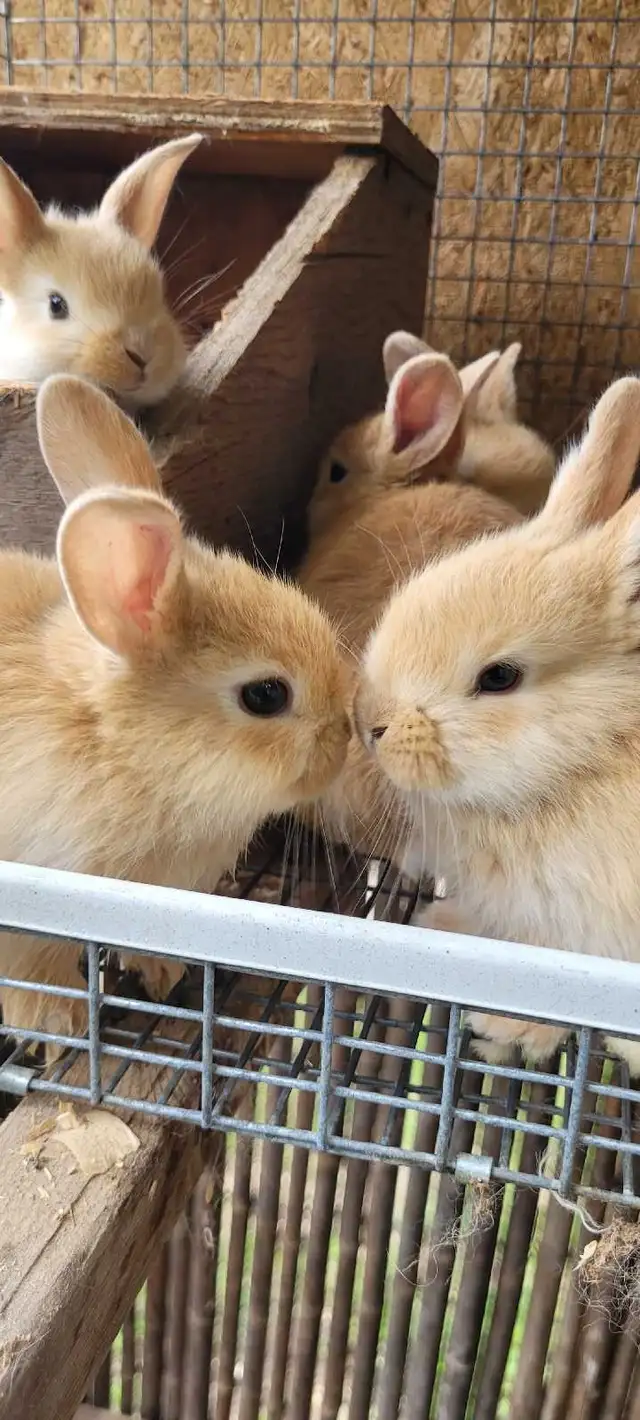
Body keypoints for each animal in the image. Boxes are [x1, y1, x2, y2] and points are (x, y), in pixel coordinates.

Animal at [0, 374, 350, 1051]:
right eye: (266, 695)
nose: (345, 739)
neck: (117, 746)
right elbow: (36, 968)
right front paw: (56, 1022)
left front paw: (163, 974)